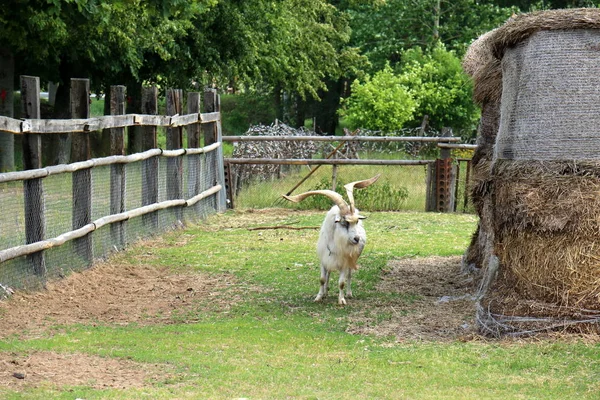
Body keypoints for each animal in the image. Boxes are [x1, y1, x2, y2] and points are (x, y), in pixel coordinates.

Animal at [282, 173, 380, 304]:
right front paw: (319, 297)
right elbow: (322, 279)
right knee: (328, 274)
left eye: (356, 222)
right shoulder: (324, 260)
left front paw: (341, 300)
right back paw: (326, 292)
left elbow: (341, 282)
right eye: (344, 222)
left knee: (349, 275)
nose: (357, 239)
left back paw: (349, 293)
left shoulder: (345, 262)